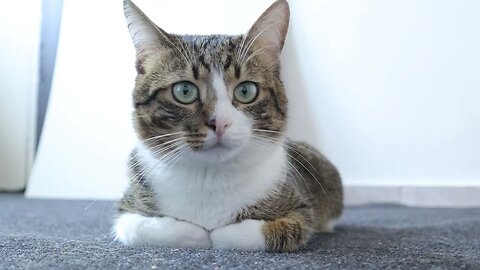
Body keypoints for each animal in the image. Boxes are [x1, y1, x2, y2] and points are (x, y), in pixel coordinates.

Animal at [114, 0, 344, 253]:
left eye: (246, 91)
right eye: (184, 91)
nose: (220, 123)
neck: (210, 176)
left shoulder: (299, 207)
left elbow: (279, 228)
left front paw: (218, 235)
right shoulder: (128, 208)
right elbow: (139, 228)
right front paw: (198, 233)